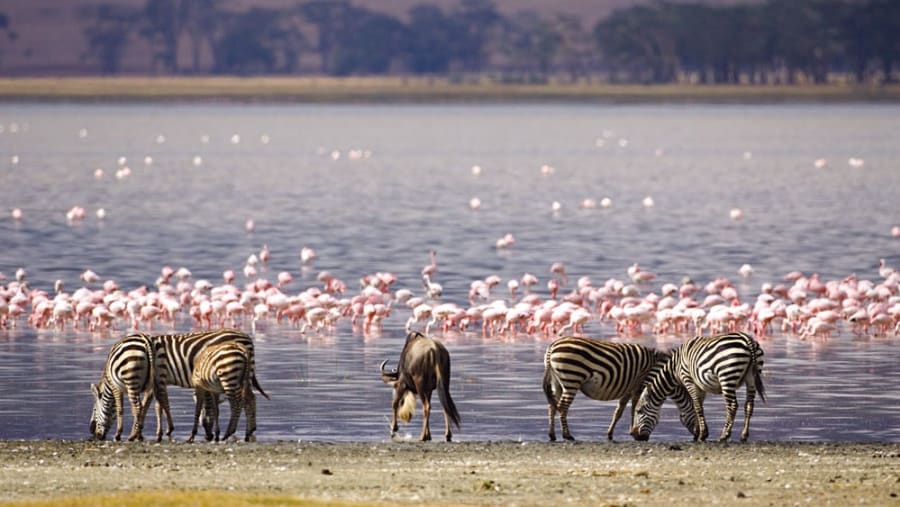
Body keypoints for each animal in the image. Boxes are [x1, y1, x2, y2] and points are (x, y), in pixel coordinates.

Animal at [543, 336, 697, 441]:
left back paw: (552, 435)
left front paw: (611, 433)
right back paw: (567, 435)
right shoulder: (640, 385)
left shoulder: (630, 388)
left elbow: (619, 410)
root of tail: (552, 346)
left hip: (558, 382)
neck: (659, 370)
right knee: (562, 407)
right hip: (572, 379)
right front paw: (633, 431)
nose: (698, 435)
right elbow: (635, 407)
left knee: (552, 406)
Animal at [632, 331, 766, 442]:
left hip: (727, 375)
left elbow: (697, 407)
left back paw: (724, 435)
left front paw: (701, 435)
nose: (634, 436)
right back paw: (744, 435)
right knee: (749, 405)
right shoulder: (700, 385)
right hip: (752, 377)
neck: (675, 368)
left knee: (732, 406)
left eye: (639, 411)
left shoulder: (688, 379)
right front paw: (700, 431)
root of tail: (746, 339)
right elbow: (698, 405)